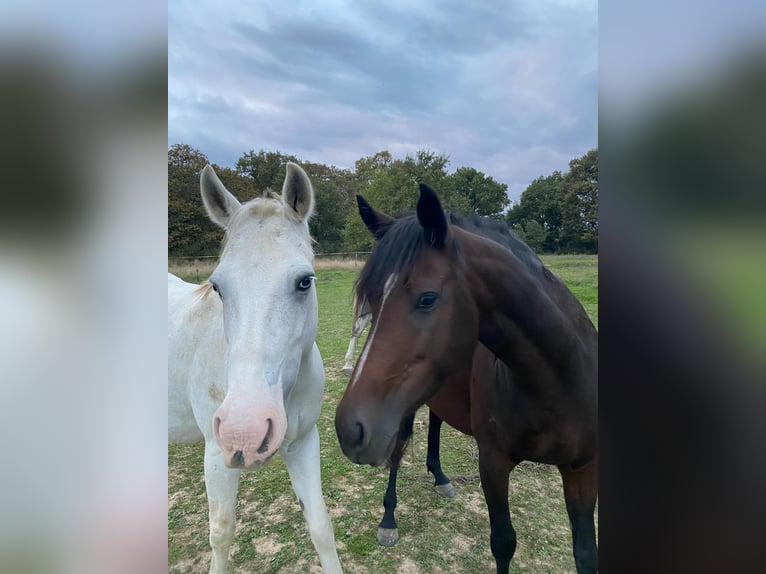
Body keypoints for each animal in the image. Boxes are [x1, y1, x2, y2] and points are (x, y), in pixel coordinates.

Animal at [172, 163, 346, 574]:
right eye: (217, 287)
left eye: (305, 281)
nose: (244, 433)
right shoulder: (216, 456)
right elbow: (221, 532)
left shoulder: (303, 443)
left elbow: (321, 526)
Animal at [338, 186, 600, 574]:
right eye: (369, 299)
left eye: (427, 298)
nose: (348, 429)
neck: (556, 382)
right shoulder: (492, 464)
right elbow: (504, 543)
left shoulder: (582, 468)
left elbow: (585, 552)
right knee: (398, 450)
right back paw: (389, 519)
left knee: (434, 423)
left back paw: (440, 477)